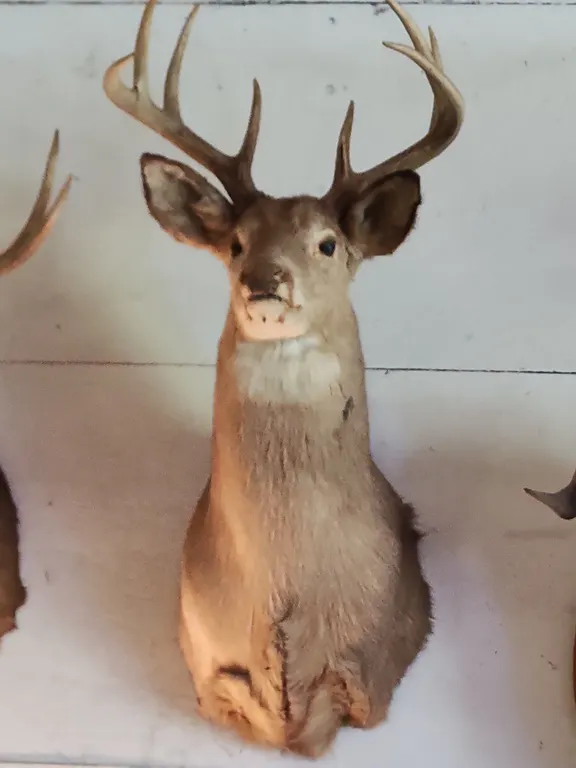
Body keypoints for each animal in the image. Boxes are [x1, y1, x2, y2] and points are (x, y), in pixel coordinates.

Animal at [104, 0, 464, 756]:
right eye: (236, 243)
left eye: (327, 244)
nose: (264, 281)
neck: (285, 597)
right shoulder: (212, 672)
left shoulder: (367, 673)